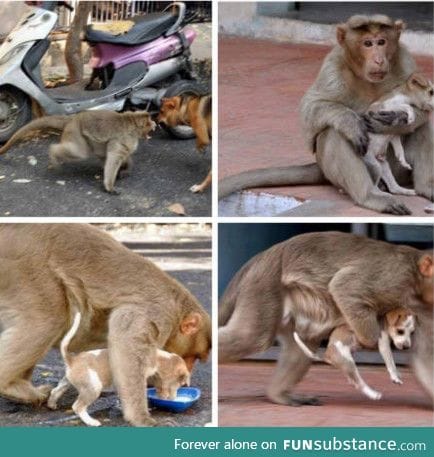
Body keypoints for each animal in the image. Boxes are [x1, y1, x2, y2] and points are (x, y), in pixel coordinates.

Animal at [0, 112, 156, 194]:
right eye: (150, 121)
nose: (155, 124)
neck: (132, 122)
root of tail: (74, 118)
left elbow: (118, 155)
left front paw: (126, 169)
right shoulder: (124, 138)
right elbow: (114, 157)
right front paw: (110, 186)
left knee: (98, 152)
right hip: (75, 132)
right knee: (80, 153)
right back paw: (53, 152)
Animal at [47, 312, 190, 426]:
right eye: (180, 383)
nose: (173, 399)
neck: (158, 358)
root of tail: (72, 359)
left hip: (68, 382)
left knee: (56, 390)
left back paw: (51, 404)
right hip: (93, 387)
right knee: (78, 407)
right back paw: (91, 422)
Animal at [219, 14, 432, 214]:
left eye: (382, 42)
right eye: (367, 43)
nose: (379, 60)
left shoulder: (404, 59)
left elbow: (421, 114)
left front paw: (399, 119)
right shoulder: (333, 65)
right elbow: (311, 108)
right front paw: (351, 122)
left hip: (394, 169)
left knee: (422, 127)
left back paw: (424, 187)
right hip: (343, 168)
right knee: (334, 132)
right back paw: (370, 196)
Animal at [220, 232, 434, 406]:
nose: (404, 345)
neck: (415, 277)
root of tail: (259, 259)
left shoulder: (420, 306)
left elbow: (423, 356)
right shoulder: (395, 278)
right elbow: (343, 286)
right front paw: (369, 339)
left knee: (303, 344)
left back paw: (278, 395)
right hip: (265, 285)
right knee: (252, 337)